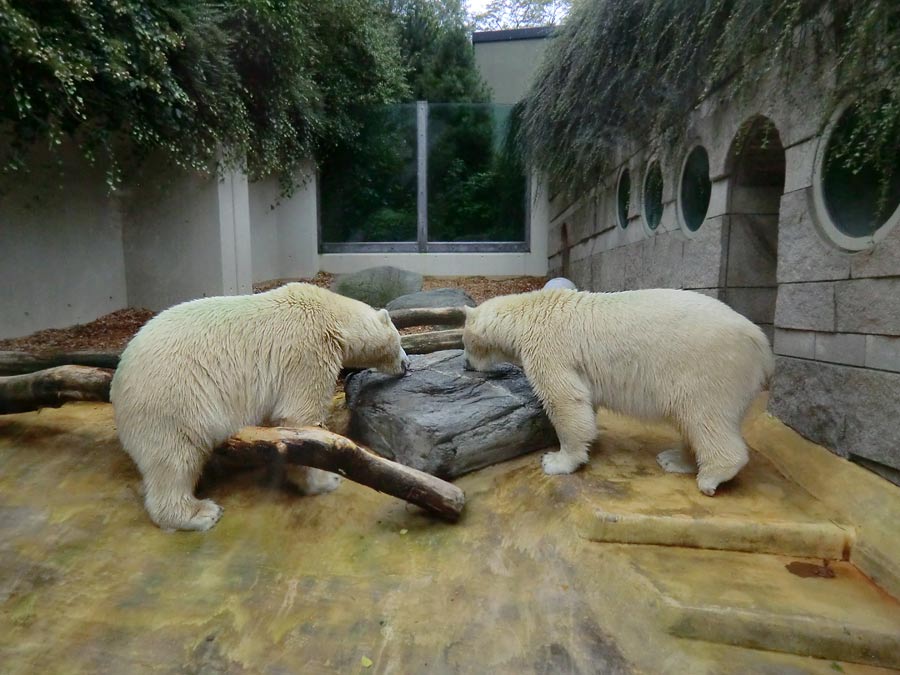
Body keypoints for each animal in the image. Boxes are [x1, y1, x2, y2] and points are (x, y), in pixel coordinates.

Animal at [109, 282, 412, 532]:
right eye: (400, 341)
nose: (407, 364)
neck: (330, 313)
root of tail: (118, 381)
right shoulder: (308, 350)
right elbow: (300, 416)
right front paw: (325, 480)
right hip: (173, 400)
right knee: (175, 458)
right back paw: (199, 513)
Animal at [464, 286, 772, 496]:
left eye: (464, 341)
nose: (466, 364)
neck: (529, 312)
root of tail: (761, 342)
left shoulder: (548, 348)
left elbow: (564, 400)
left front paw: (557, 461)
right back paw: (674, 459)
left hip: (708, 369)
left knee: (703, 416)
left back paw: (711, 477)